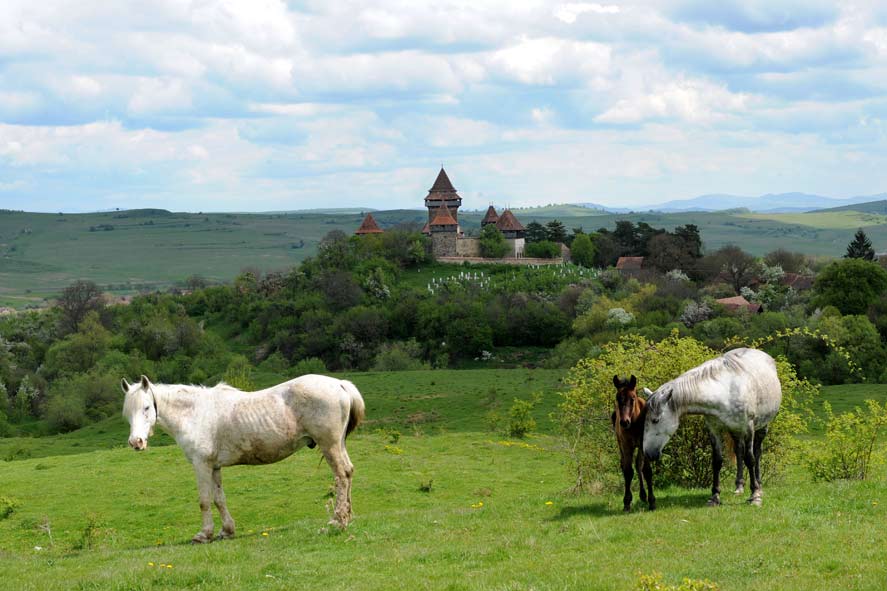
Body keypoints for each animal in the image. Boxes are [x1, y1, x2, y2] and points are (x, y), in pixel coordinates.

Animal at [121, 376, 364, 544]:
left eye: (146, 408)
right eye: (127, 413)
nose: (136, 442)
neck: (195, 414)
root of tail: (340, 384)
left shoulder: (201, 465)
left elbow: (204, 501)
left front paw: (203, 534)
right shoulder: (214, 467)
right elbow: (219, 499)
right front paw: (226, 531)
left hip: (329, 445)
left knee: (341, 476)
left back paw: (338, 520)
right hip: (338, 444)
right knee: (349, 472)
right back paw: (348, 517)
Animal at [612, 376, 656, 512]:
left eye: (632, 398)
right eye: (617, 398)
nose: (624, 422)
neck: (635, 423)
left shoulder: (645, 444)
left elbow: (647, 471)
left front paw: (652, 501)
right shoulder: (626, 446)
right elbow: (628, 471)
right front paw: (626, 502)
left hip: (640, 447)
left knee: (638, 465)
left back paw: (643, 495)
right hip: (621, 445)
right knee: (626, 465)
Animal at [640, 350, 780, 506]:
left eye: (655, 420)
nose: (648, 453)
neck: (725, 391)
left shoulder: (749, 428)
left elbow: (750, 459)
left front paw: (755, 496)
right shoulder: (714, 429)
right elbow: (717, 461)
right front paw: (714, 497)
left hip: (761, 427)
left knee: (757, 452)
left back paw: (759, 486)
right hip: (736, 430)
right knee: (739, 451)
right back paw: (739, 486)